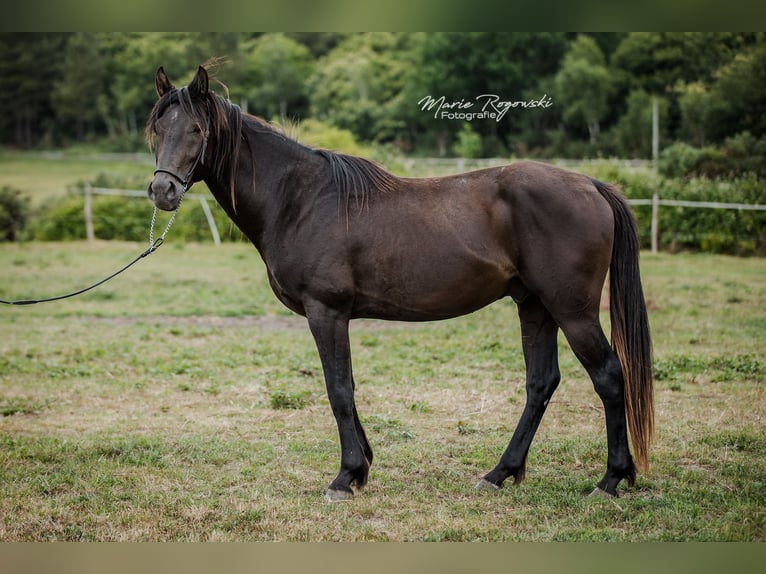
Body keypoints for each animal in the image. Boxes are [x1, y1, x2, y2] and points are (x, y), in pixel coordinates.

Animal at [146, 64, 654, 501]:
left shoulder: (326, 311)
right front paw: (362, 468)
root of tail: (591, 185)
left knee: (610, 377)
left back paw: (610, 480)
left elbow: (338, 390)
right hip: (535, 306)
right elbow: (348, 386)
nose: (162, 191)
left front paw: (345, 477)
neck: (300, 199)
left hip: (572, 311)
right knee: (541, 383)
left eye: (197, 130)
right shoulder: (337, 317)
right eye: (157, 130)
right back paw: (500, 473)